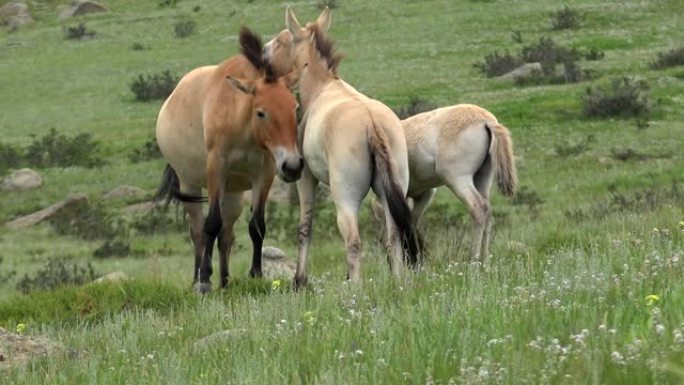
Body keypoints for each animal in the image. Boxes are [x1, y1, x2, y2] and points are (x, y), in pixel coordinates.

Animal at [158, 27, 304, 292]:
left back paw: (225, 281)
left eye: (295, 108)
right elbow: (211, 224)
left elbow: (257, 226)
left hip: (234, 194)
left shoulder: (265, 174)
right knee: (198, 232)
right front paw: (205, 278)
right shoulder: (217, 169)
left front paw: (256, 274)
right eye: (261, 112)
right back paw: (197, 278)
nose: (292, 166)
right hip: (190, 185)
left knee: (226, 237)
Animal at [264, 7, 420, 286]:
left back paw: (355, 288)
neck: (323, 87)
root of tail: (371, 122)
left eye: (282, 40)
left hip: (345, 196)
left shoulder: (306, 177)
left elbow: (305, 227)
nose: (262, 51)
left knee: (354, 241)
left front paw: (300, 281)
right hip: (389, 191)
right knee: (394, 238)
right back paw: (397, 283)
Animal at [396, 103, 512, 258]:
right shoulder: (424, 194)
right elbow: (411, 221)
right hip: (482, 179)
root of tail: (487, 121)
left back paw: (473, 259)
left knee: (479, 207)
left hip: (458, 180)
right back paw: (484, 259)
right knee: (488, 211)